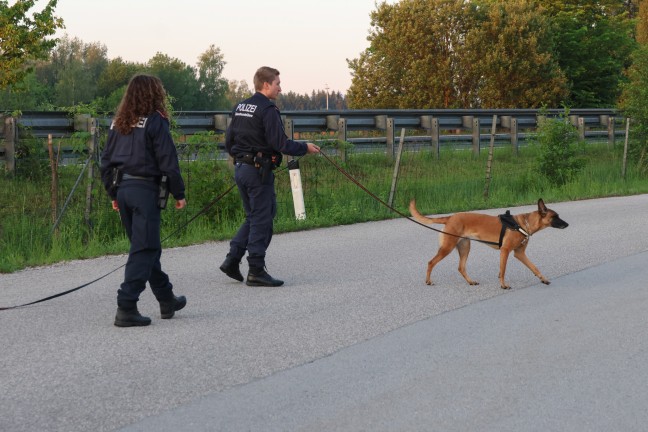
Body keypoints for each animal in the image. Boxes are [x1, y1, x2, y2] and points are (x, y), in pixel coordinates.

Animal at [410, 199, 568, 290]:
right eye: (555, 217)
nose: (567, 224)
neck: (524, 224)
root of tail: (450, 217)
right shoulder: (505, 251)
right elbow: (503, 270)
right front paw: (503, 285)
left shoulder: (519, 253)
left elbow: (534, 267)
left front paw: (543, 279)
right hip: (447, 247)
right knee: (431, 262)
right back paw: (428, 281)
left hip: (465, 247)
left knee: (461, 267)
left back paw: (471, 282)